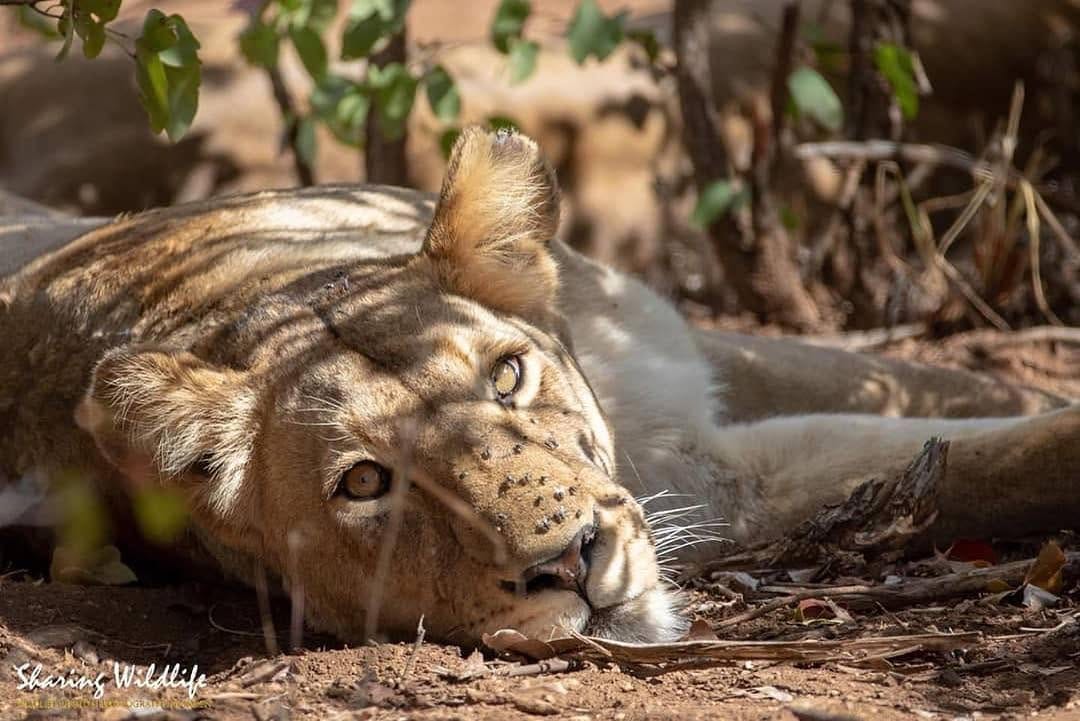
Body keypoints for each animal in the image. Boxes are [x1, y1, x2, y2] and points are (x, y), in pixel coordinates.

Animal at [1, 127, 1078, 646]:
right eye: (364, 483)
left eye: (508, 375)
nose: (572, 562)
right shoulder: (728, 484)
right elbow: (993, 461)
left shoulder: (701, 378)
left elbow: (930, 389)